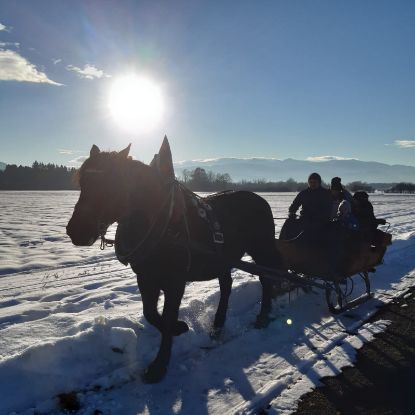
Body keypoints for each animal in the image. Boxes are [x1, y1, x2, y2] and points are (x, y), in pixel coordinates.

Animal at [67, 138, 282, 386]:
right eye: (83, 182)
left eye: (113, 183)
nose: (76, 231)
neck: (162, 223)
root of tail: (260, 199)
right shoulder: (146, 278)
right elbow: (151, 313)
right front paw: (179, 329)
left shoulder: (175, 281)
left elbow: (167, 317)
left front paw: (159, 365)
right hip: (223, 260)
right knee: (227, 286)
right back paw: (218, 326)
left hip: (261, 250)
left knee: (266, 280)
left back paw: (263, 316)